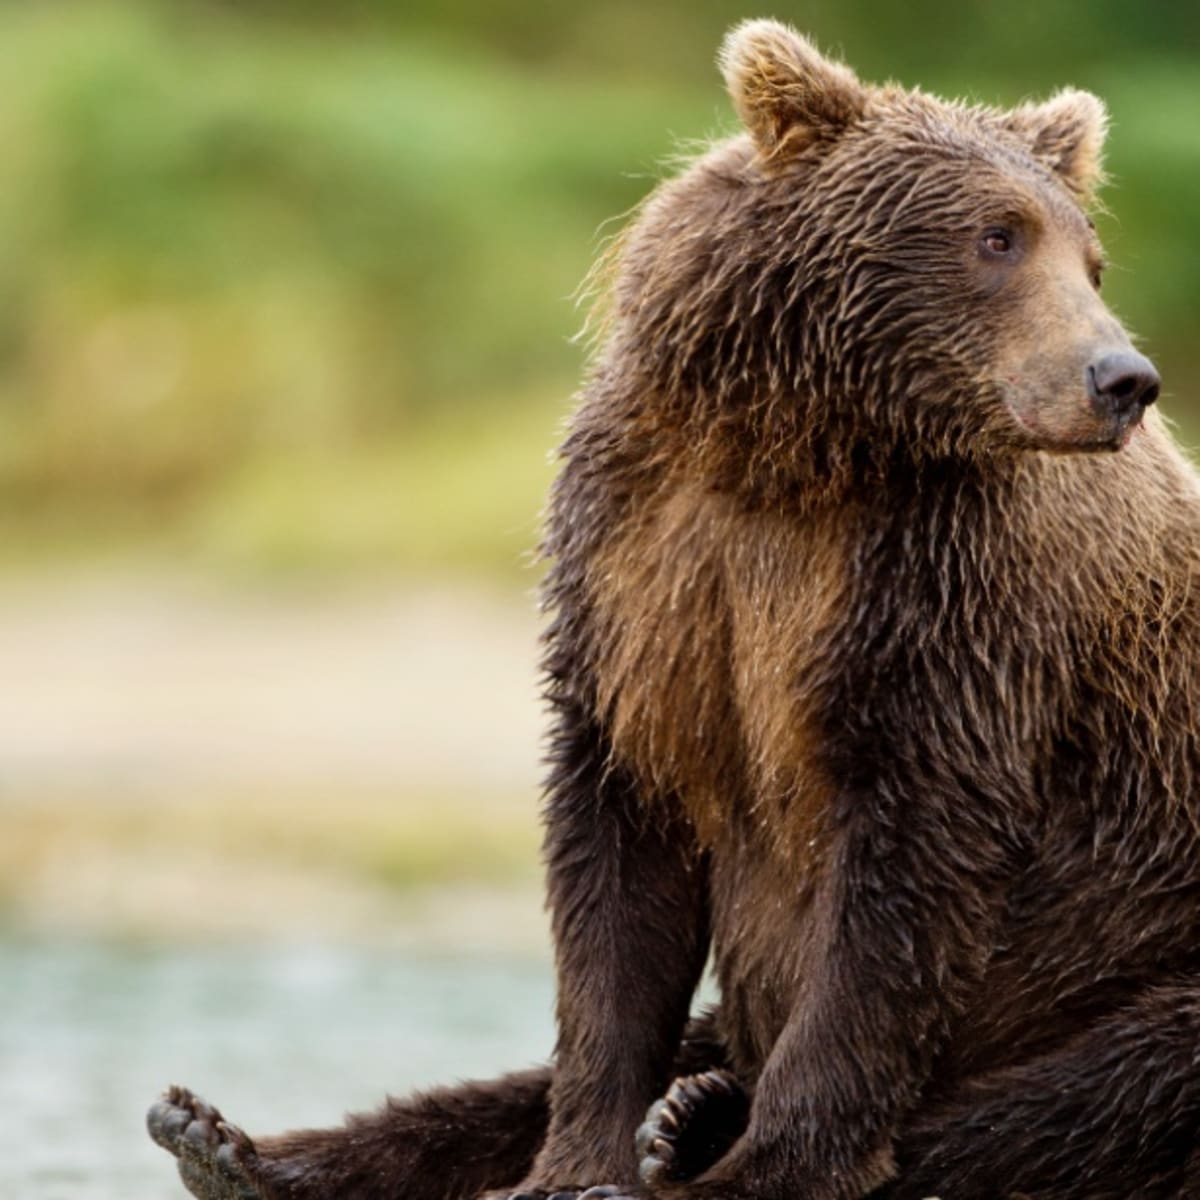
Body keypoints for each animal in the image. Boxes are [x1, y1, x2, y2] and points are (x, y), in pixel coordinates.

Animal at [152, 18, 1200, 1200]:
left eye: (1089, 257)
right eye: (998, 234)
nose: (1121, 377)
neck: (798, 452)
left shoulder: (952, 601)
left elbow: (900, 887)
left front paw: (764, 1161)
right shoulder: (642, 572)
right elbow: (618, 879)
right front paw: (577, 1159)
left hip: (1147, 941)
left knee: (1109, 1079)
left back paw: (700, 1138)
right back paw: (232, 1142)